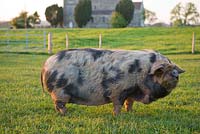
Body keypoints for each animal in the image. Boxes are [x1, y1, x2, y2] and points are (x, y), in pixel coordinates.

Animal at [40, 48, 184, 115]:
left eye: (174, 68)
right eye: (163, 70)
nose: (176, 75)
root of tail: (45, 65)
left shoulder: (131, 92)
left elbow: (129, 103)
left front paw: (130, 113)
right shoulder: (118, 90)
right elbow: (118, 104)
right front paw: (117, 116)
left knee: (56, 105)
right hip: (59, 91)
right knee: (59, 105)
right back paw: (66, 114)